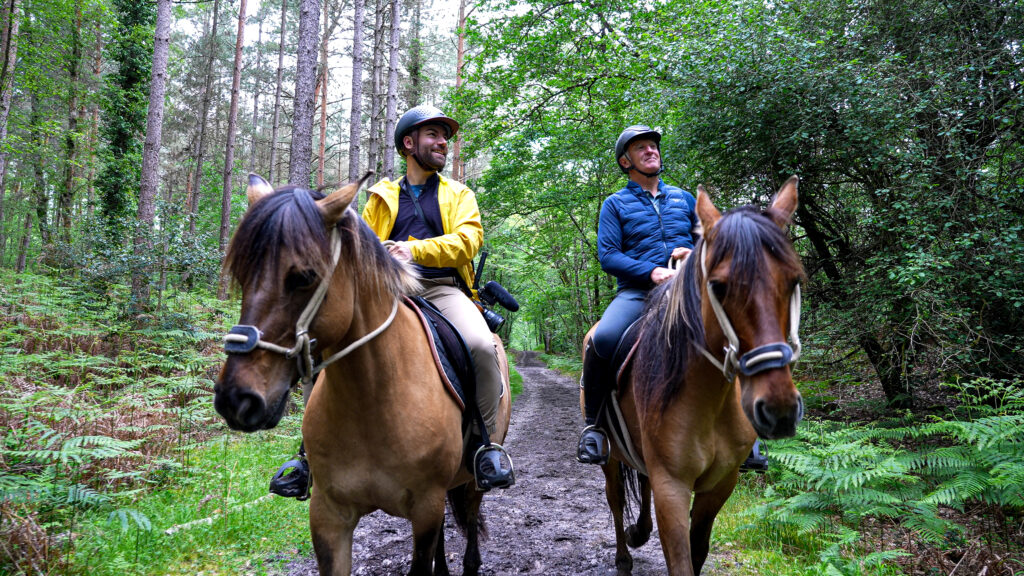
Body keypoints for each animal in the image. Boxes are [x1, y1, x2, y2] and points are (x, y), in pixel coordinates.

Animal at [212, 175, 512, 573]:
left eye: (304, 276)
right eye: (242, 275)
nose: (236, 399)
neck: (372, 399)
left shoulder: (426, 508)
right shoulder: (328, 514)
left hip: (471, 482)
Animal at [585, 176, 806, 573]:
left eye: (794, 280)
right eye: (718, 285)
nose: (779, 408)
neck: (711, 398)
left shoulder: (720, 484)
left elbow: (698, 549)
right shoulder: (672, 486)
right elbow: (681, 559)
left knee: (640, 482)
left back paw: (639, 531)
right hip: (609, 457)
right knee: (614, 498)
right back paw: (624, 555)